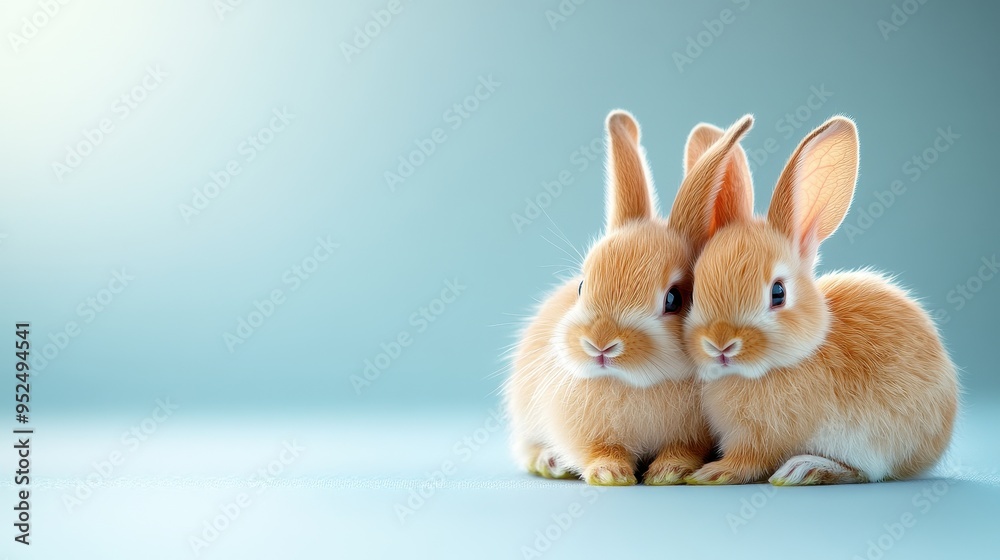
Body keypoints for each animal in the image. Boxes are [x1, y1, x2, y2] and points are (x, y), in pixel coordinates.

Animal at [504, 110, 754, 485]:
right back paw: (547, 462)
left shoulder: (691, 436)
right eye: (582, 286)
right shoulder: (584, 432)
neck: (634, 382)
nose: (600, 344)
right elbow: (598, 450)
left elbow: (682, 450)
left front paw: (668, 473)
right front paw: (611, 474)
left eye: (674, 299)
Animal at [678, 114, 959, 485]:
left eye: (778, 293)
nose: (720, 345)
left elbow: (748, 460)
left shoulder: (761, 438)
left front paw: (712, 473)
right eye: (694, 291)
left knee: (863, 472)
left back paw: (804, 469)